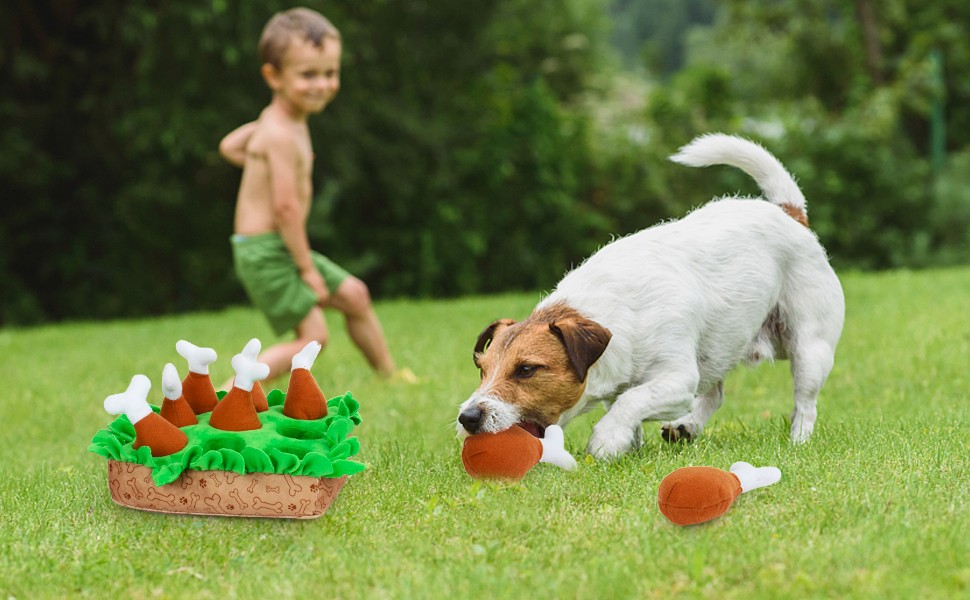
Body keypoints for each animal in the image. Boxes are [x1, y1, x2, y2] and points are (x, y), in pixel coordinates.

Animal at [454, 132, 840, 460]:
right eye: (482, 368)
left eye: (527, 369)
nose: (468, 417)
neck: (611, 316)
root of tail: (789, 213)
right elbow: (626, 401)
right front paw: (629, 444)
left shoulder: (677, 379)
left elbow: (632, 399)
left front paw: (607, 439)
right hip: (719, 344)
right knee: (714, 393)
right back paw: (687, 425)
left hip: (810, 348)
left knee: (805, 402)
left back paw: (798, 440)